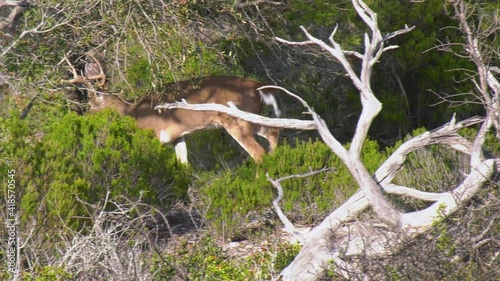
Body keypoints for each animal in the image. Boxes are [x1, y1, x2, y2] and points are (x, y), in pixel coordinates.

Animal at [64, 54, 280, 163]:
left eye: (91, 106)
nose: (82, 119)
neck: (131, 112)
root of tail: (258, 87)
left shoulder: (153, 135)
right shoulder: (177, 136)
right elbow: (183, 165)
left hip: (238, 120)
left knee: (259, 153)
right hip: (253, 117)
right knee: (273, 132)